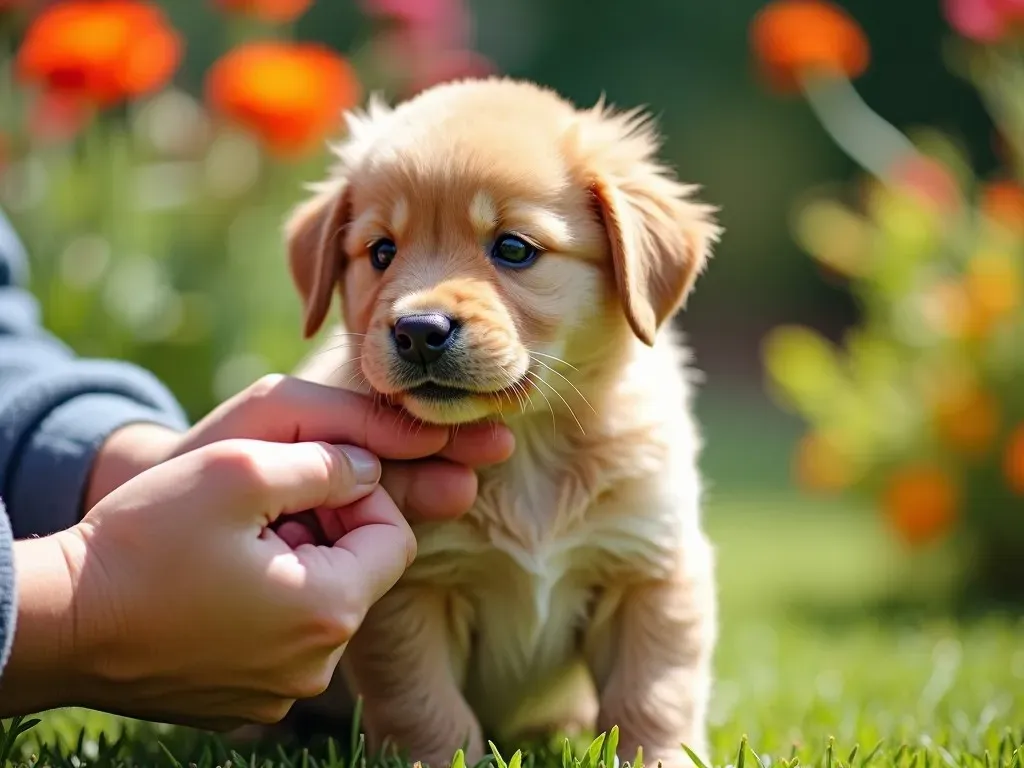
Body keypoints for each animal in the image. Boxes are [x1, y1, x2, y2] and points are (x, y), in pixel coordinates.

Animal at [286, 76, 720, 768]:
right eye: (381, 251)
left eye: (513, 249)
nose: (418, 330)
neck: (528, 444)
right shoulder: (410, 593)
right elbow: (424, 708)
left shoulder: (651, 569)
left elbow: (653, 695)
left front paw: (658, 757)